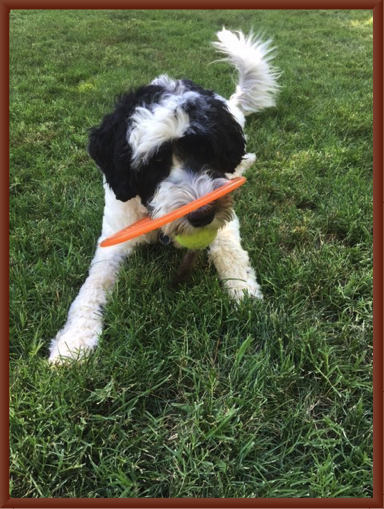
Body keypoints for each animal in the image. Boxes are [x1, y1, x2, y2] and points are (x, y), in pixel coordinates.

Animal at [48, 27, 280, 364]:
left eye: (205, 150)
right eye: (154, 163)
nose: (202, 215)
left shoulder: (224, 225)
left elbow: (230, 253)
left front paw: (245, 295)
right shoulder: (113, 239)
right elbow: (94, 285)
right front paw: (73, 342)